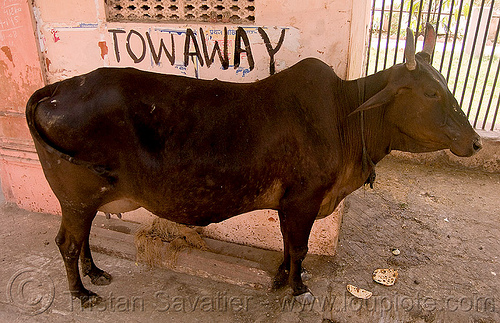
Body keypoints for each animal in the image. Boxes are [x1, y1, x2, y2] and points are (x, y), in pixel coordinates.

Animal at [26, 24, 480, 306]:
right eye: (430, 93)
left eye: (445, 85)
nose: (475, 142)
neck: (344, 116)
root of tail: (58, 88)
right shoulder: (304, 199)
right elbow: (299, 247)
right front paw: (298, 288)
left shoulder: (290, 203)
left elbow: (287, 245)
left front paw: (280, 278)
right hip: (77, 195)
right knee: (66, 243)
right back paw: (82, 293)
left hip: (84, 199)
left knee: (82, 239)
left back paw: (96, 273)